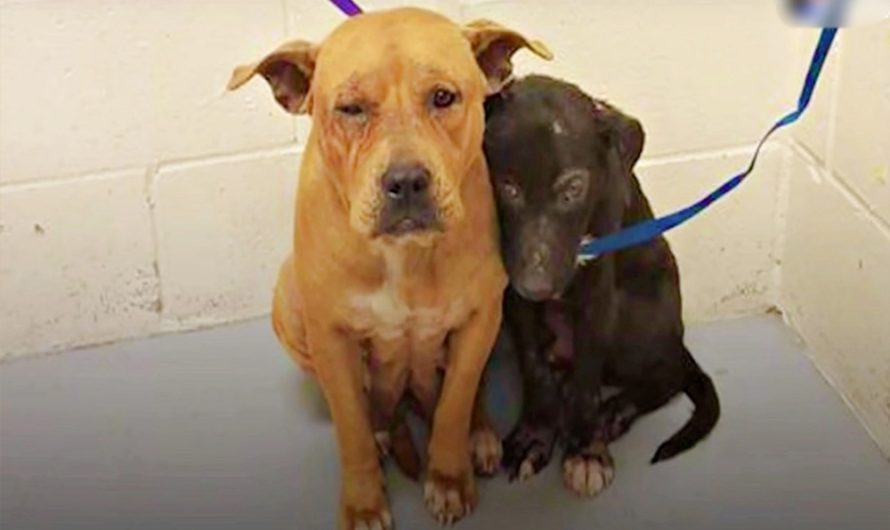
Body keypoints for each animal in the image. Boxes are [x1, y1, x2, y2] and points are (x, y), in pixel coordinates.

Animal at [229, 8, 548, 528]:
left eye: (444, 97)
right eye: (350, 109)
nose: (406, 180)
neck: (405, 257)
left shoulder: (480, 319)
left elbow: (455, 403)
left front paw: (448, 476)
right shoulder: (331, 339)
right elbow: (351, 427)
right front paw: (364, 501)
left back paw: (479, 434)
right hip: (288, 305)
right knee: (372, 408)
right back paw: (385, 428)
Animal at [482, 75, 720, 496]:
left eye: (573, 189)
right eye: (506, 186)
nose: (536, 287)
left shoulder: (597, 298)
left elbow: (587, 381)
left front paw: (586, 450)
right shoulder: (514, 300)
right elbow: (534, 368)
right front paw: (535, 435)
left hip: (635, 316)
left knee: (668, 371)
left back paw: (615, 411)